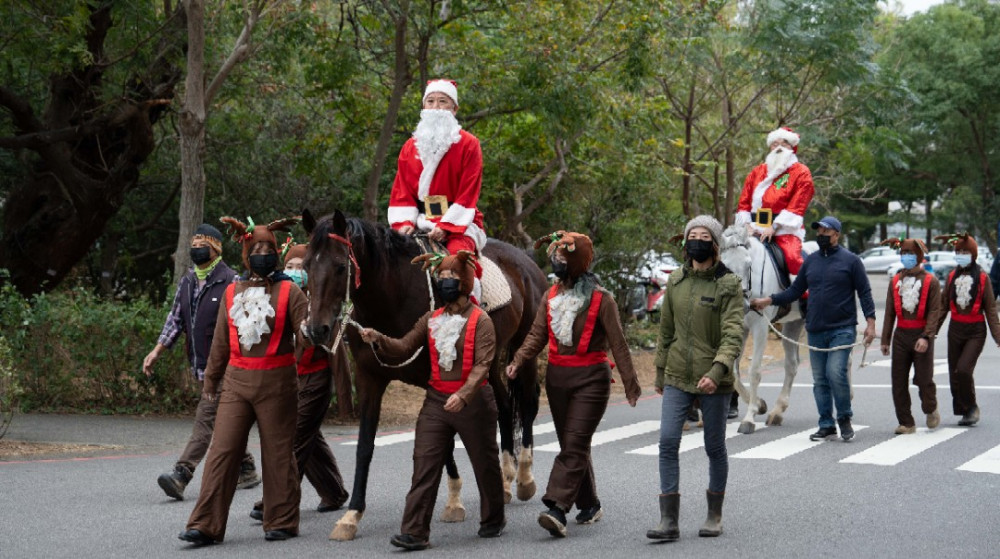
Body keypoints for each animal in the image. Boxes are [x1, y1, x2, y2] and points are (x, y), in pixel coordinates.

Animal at [302, 210, 548, 544]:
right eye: (306, 266)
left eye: (341, 266)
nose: (317, 329)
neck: (392, 297)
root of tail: (525, 260)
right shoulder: (369, 380)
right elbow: (365, 446)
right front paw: (352, 514)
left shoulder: (433, 378)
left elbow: (442, 440)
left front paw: (454, 501)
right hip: (490, 358)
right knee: (505, 408)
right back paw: (506, 480)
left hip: (525, 350)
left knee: (527, 405)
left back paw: (523, 477)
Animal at [720, 225, 812, 436]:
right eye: (725, 266)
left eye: (748, 264)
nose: (742, 304)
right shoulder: (740, 329)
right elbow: (734, 372)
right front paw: (759, 405)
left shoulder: (760, 327)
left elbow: (754, 371)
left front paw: (749, 419)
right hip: (793, 324)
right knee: (791, 365)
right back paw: (777, 411)